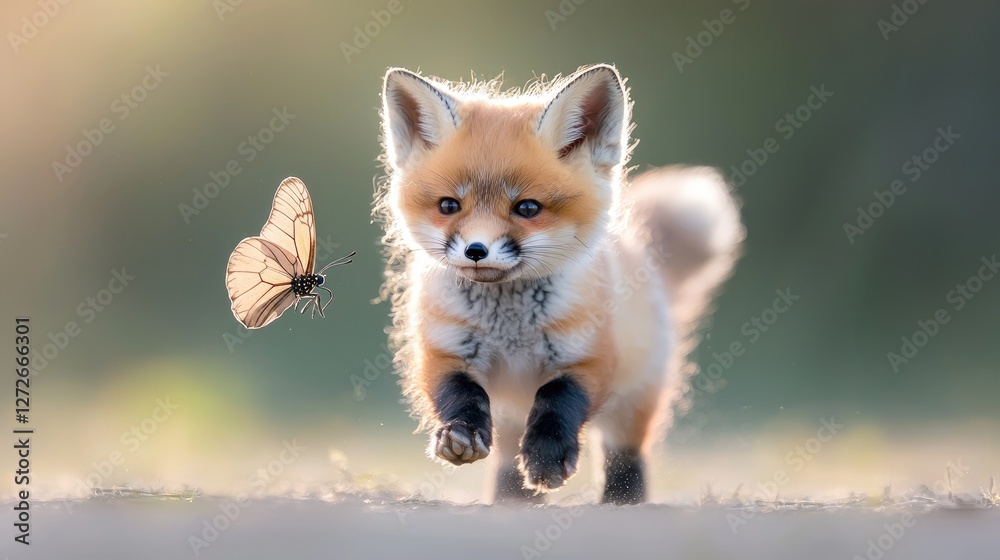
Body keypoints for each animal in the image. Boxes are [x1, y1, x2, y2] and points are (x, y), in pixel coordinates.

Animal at [375, 64, 744, 504]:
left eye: (527, 208)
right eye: (449, 205)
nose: (476, 250)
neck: (511, 330)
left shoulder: (589, 359)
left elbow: (556, 402)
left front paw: (547, 458)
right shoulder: (443, 353)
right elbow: (460, 396)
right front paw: (459, 434)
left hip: (634, 406)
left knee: (625, 458)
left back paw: (621, 500)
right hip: (510, 416)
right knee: (507, 463)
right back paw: (512, 502)